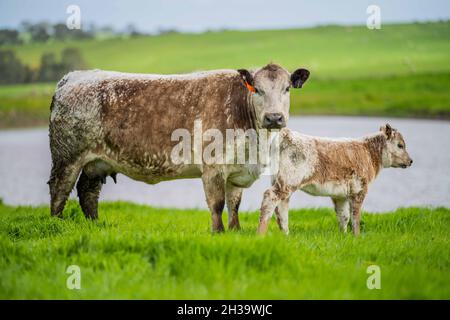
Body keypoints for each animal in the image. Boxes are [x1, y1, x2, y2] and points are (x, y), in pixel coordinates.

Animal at [48, 63, 310, 231]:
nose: (274, 117)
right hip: (67, 157)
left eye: (287, 88)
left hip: (96, 163)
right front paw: (218, 232)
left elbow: (234, 204)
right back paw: (57, 224)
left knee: (88, 192)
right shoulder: (213, 167)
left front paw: (235, 232)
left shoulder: (237, 169)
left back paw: (95, 225)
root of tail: (71, 78)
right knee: (60, 190)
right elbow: (217, 204)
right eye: (257, 89)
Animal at [258, 124, 414, 236]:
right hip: (289, 180)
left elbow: (343, 216)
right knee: (270, 197)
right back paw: (261, 233)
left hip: (281, 181)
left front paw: (343, 236)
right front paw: (356, 236)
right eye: (400, 145)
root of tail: (287, 134)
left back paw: (285, 234)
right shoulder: (359, 190)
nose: (411, 161)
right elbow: (355, 217)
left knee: (281, 206)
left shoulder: (340, 195)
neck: (369, 153)